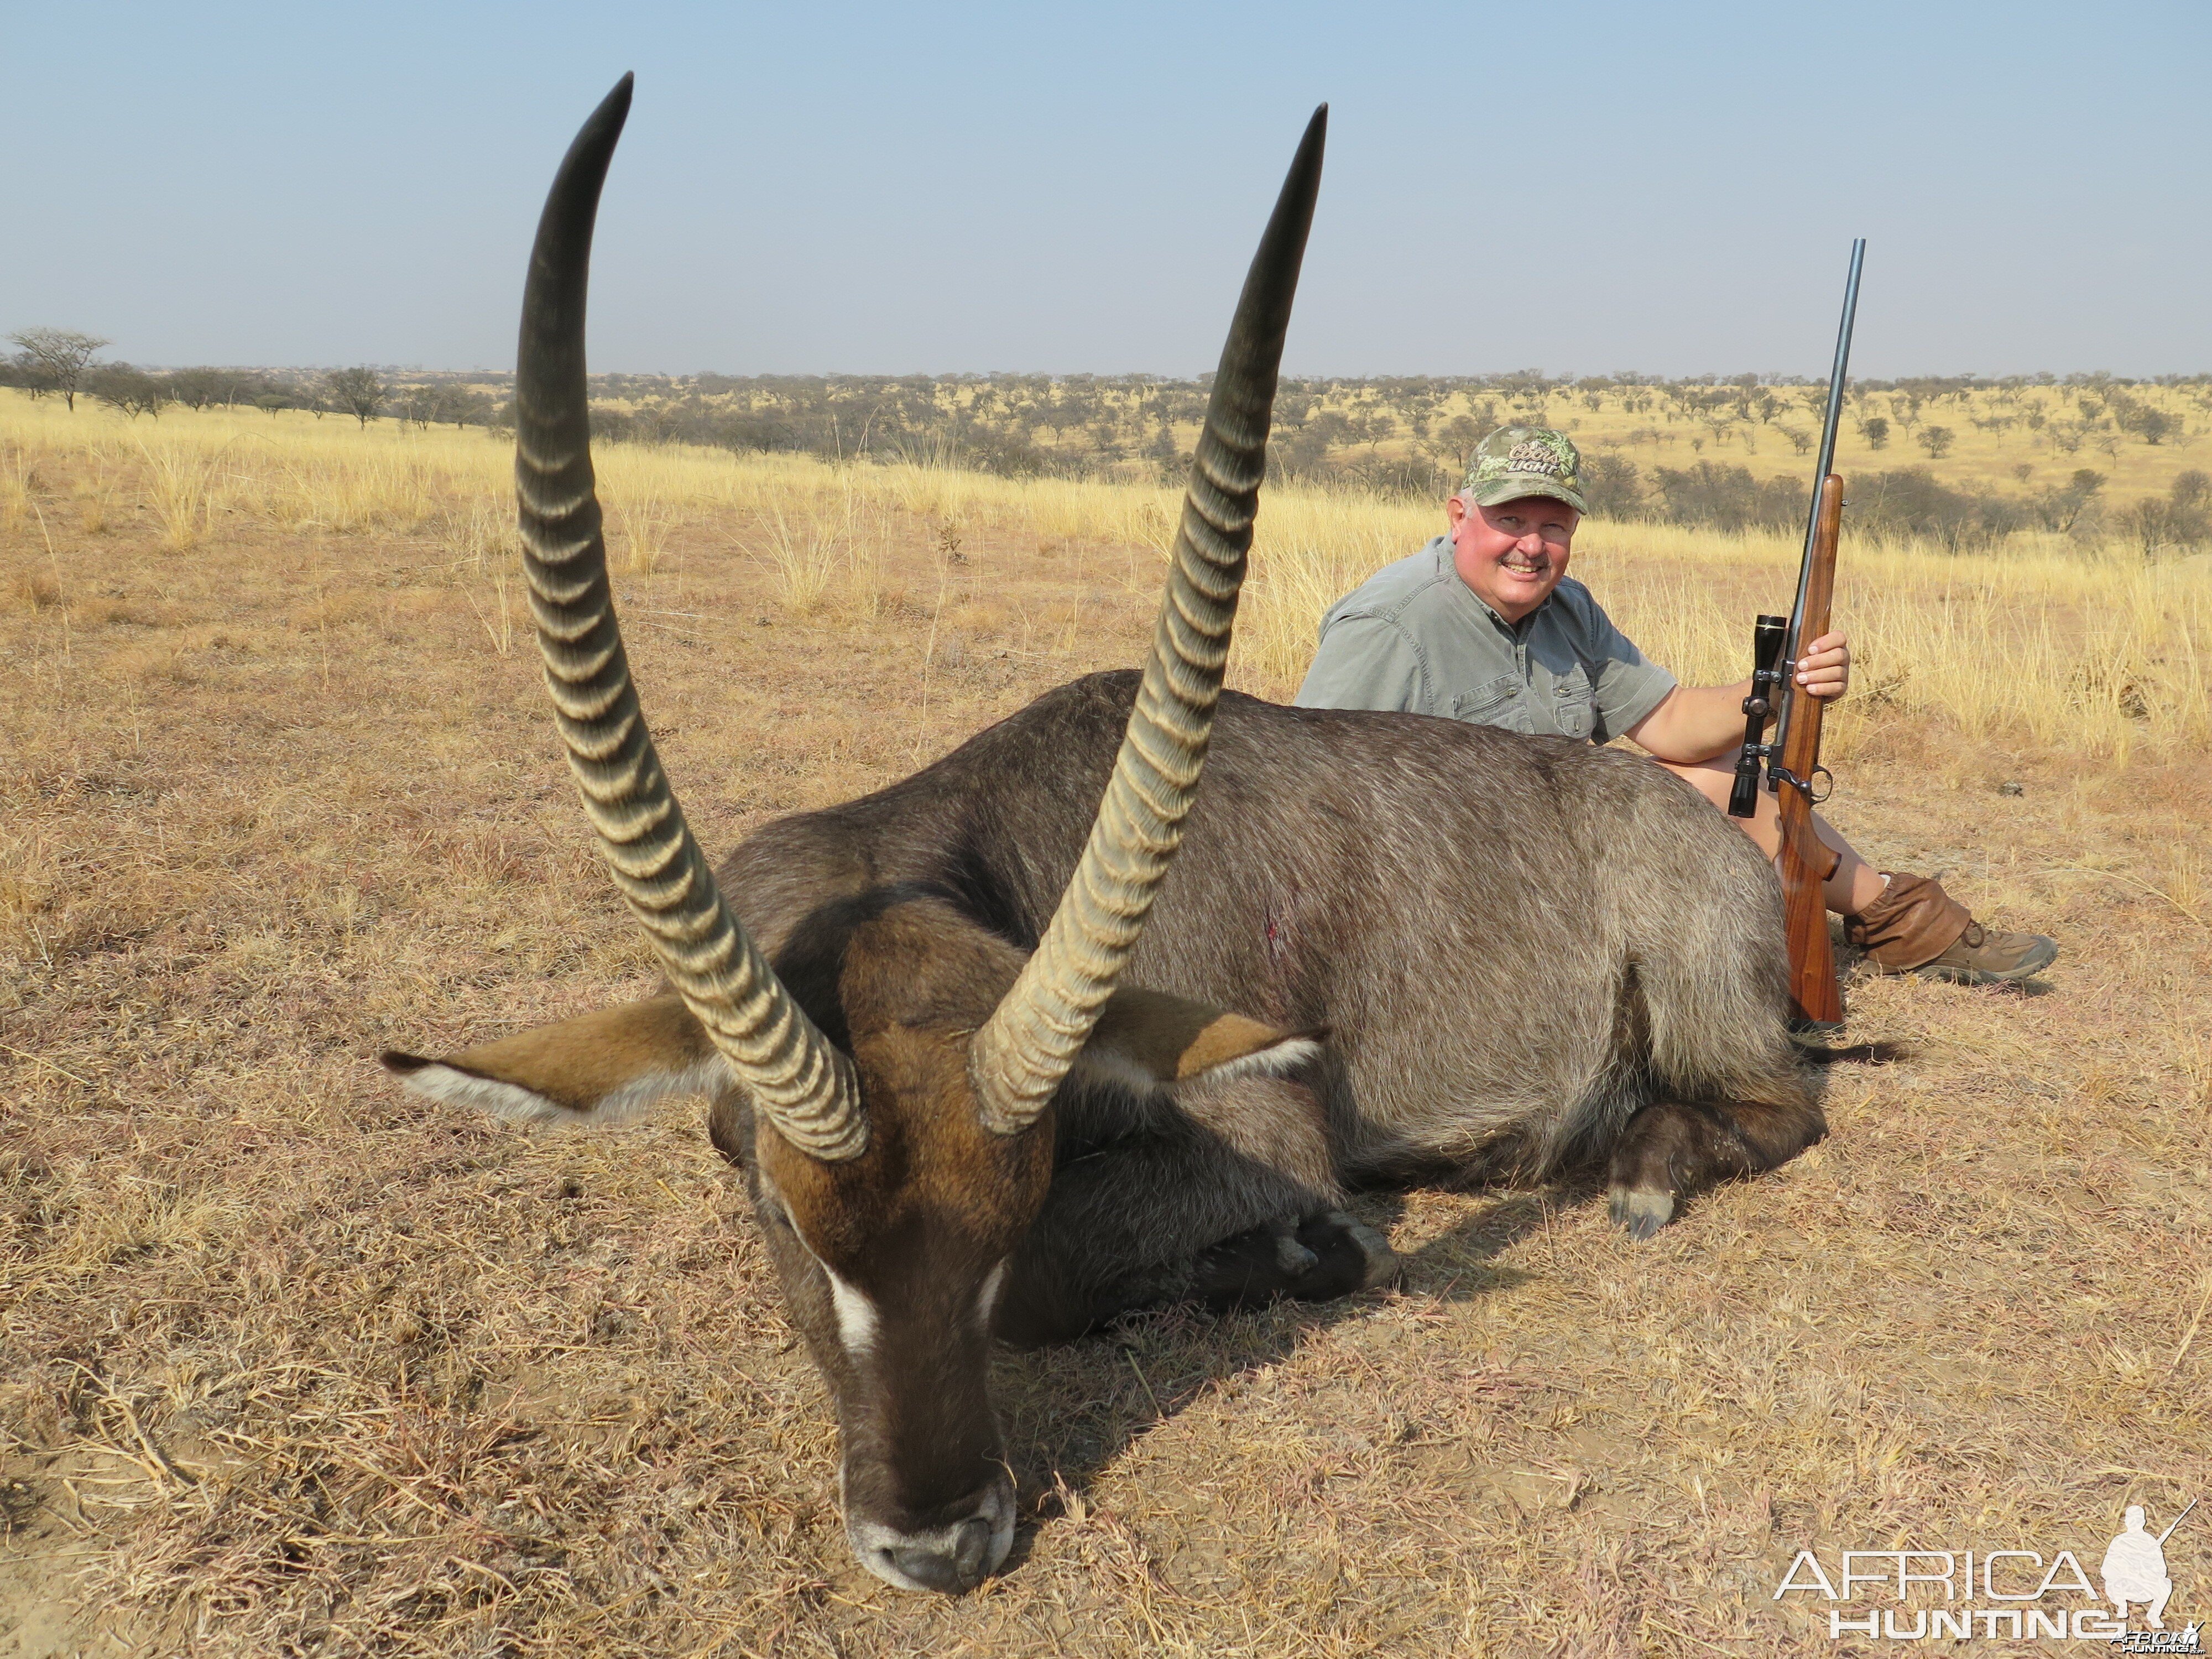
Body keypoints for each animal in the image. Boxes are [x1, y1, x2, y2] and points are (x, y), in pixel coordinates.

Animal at [385, 78, 1832, 1601]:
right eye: (775, 1206)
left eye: (1006, 1212)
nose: (940, 1542)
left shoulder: (1258, 1123)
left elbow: (1070, 1279)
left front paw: (1302, 1248)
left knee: (1781, 1105)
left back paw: (1633, 1171)